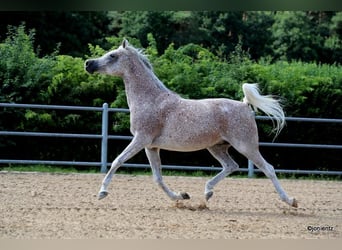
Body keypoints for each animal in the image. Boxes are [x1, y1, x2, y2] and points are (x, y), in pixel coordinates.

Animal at [85, 39, 296, 207]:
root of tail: (245, 106)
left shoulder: (140, 139)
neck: (151, 100)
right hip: (217, 147)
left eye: (112, 55)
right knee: (231, 166)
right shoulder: (151, 146)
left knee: (268, 169)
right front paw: (181, 196)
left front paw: (102, 192)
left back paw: (291, 201)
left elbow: (117, 161)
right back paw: (207, 193)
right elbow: (158, 178)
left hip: (246, 146)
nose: (88, 64)